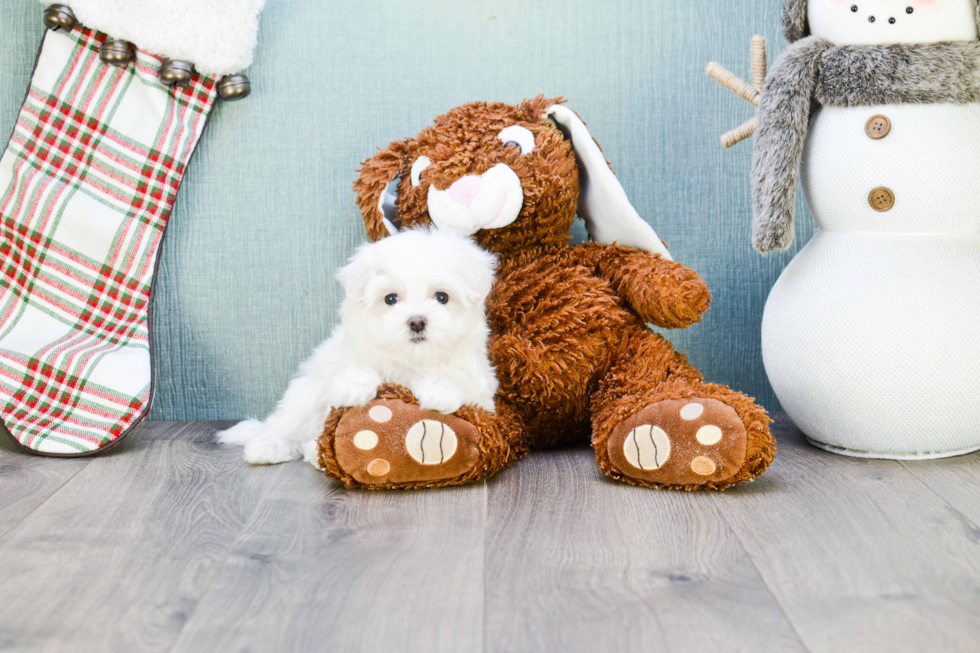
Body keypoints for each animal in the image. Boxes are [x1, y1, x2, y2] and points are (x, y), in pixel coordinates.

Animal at [219, 227, 502, 466]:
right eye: (391, 299)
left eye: (442, 297)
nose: (417, 321)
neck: (411, 359)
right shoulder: (351, 354)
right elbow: (359, 368)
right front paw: (355, 386)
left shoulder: (481, 389)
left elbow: (459, 382)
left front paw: (439, 389)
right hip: (304, 396)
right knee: (286, 427)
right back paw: (268, 447)